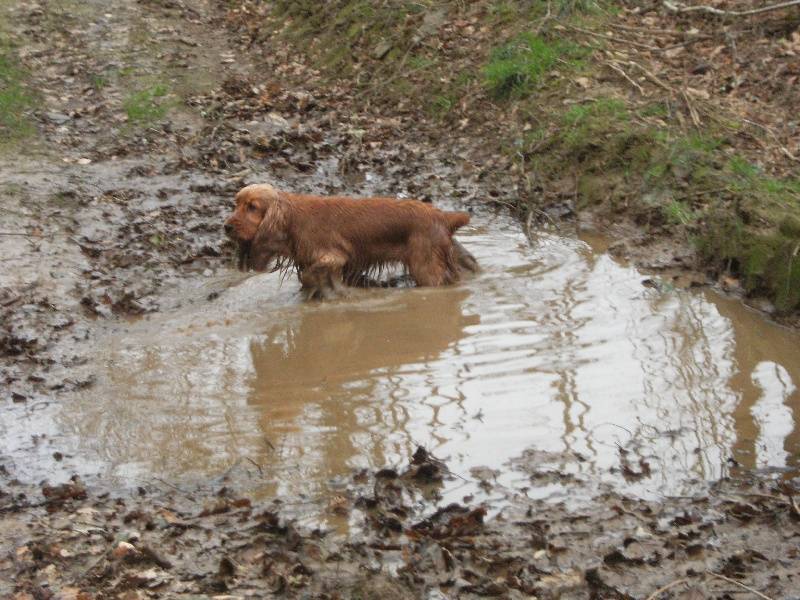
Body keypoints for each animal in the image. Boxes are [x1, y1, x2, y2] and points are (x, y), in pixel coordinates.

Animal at [224, 184, 477, 299]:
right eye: (235, 204)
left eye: (252, 207)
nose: (226, 227)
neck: (292, 218)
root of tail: (442, 215)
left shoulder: (334, 256)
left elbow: (313, 275)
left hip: (425, 268)